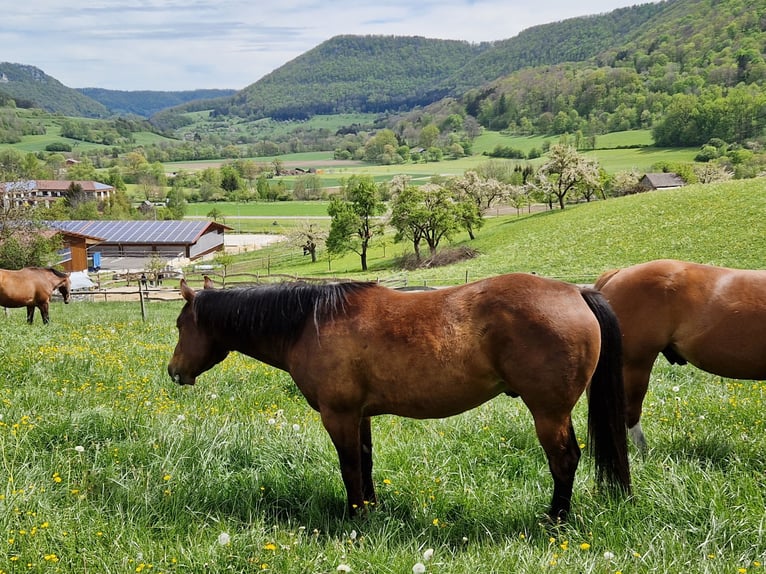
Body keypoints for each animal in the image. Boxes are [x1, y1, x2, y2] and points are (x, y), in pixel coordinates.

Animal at [167, 274, 631, 522]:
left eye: (180, 324)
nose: (174, 372)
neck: (309, 323)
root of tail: (575, 292)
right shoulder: (360, 415)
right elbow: (366, 462)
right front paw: (371, 509)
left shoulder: (338, 416)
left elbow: (350, 467)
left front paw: (356, 516)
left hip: (548, 413)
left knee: (565, 461)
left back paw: (555, 521)